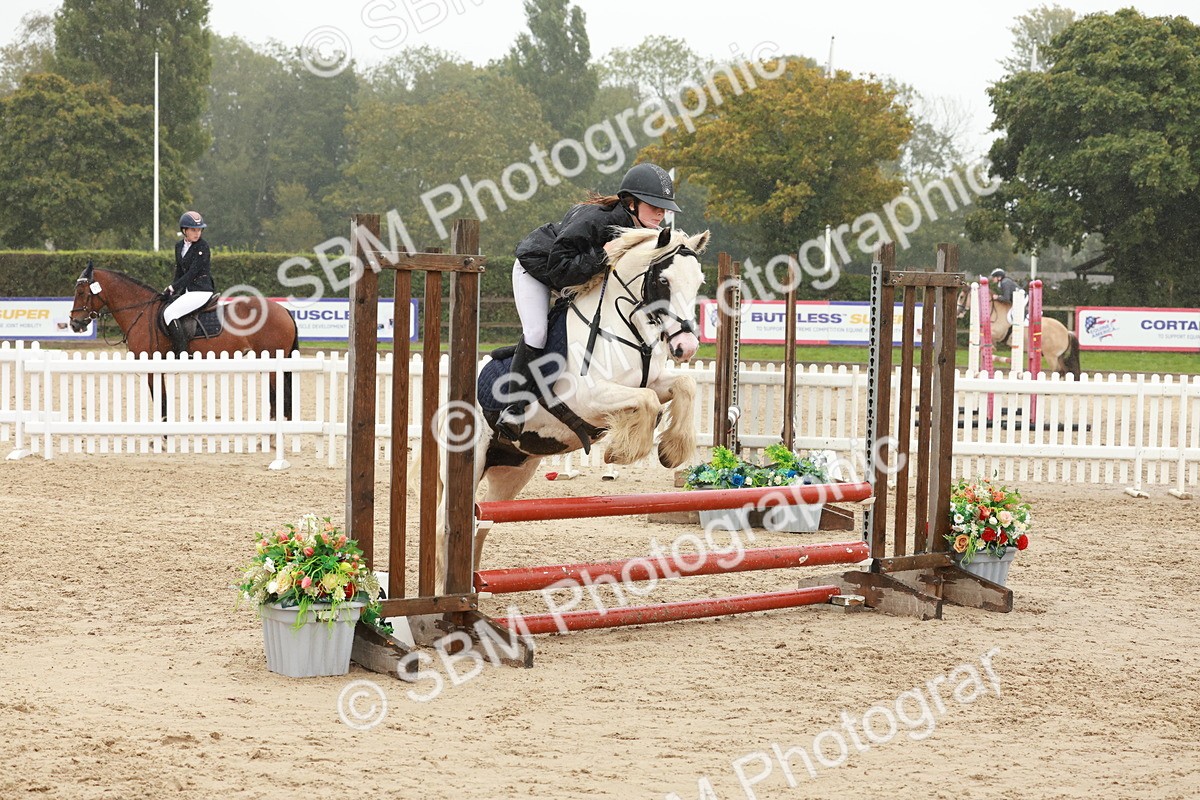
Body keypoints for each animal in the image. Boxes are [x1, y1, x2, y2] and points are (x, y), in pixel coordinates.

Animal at [68, 262, 300, 418]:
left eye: (82, 292)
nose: (75, 323)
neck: (141, 311)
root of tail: (284, 311)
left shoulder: (152, 366)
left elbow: (160, 400)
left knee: (278, 396)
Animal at [421, 225, 710, 587]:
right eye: (663, 281)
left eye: (699, 281)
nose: (687, 347)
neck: (624, 328)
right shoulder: (589, 398)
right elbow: (648, 401)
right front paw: (620, 452)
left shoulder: (653, 381)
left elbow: (683, 386)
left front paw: (671, 450)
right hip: (467, 463)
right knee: (445, 527)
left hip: (512, 473)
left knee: (481, 525)